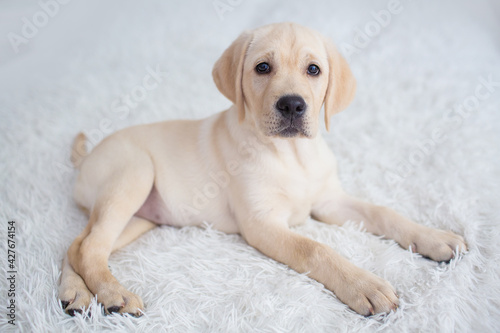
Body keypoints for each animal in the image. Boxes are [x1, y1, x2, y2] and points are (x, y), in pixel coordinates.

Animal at [59, 22, 468, 316]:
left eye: (313, 69)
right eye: (263, 68)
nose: (292, 105)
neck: (291, 154)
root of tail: (87, 158)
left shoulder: (330, 200)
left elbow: (383, 212)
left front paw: (435, 238)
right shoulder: (262, 223)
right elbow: (315, 249)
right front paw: (364, 285)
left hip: (140, 218)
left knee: (78, 245)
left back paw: (74, 293)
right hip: (134, 174)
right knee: (90, 246)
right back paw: (114, 294)